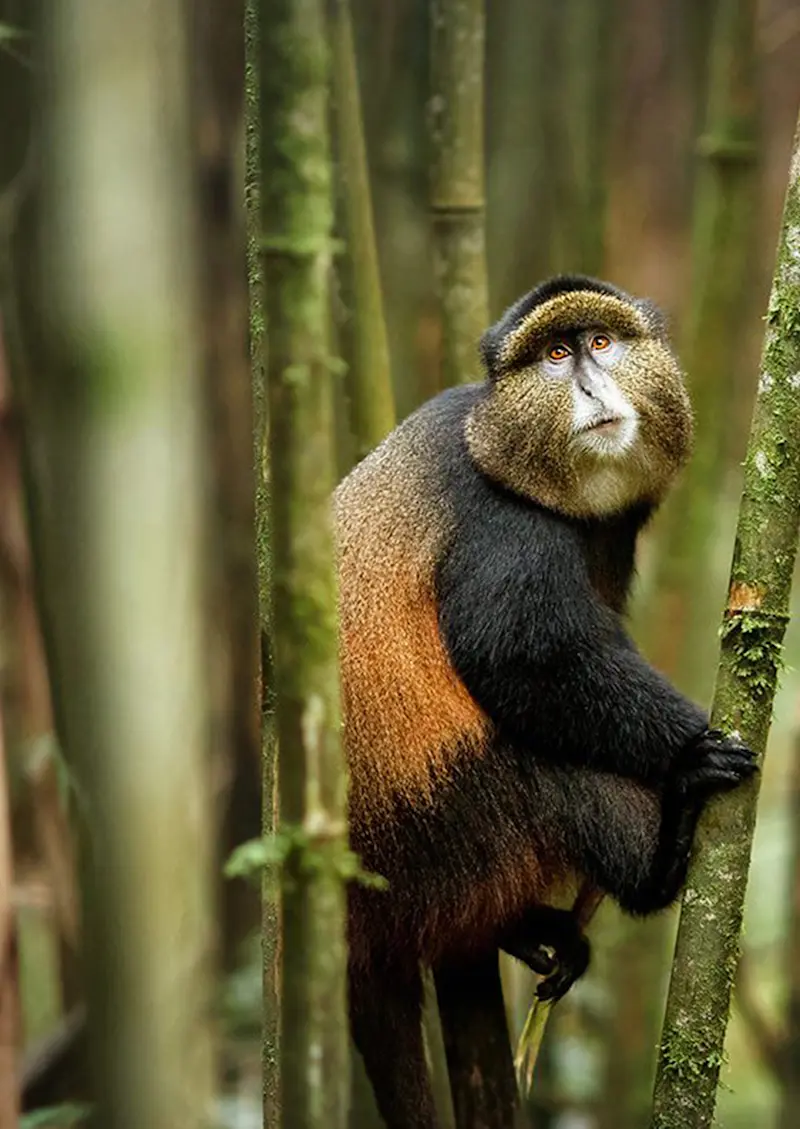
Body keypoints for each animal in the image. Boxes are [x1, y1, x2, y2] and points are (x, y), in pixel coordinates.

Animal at [334, 275, 757, 1129]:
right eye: (556, 355)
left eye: (600, 343)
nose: (590, 386)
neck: (492, 436)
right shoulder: (504, 527)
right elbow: (522, 658)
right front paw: (690, 747)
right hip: (439, 819)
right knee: (549, 770)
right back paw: (660, 856)